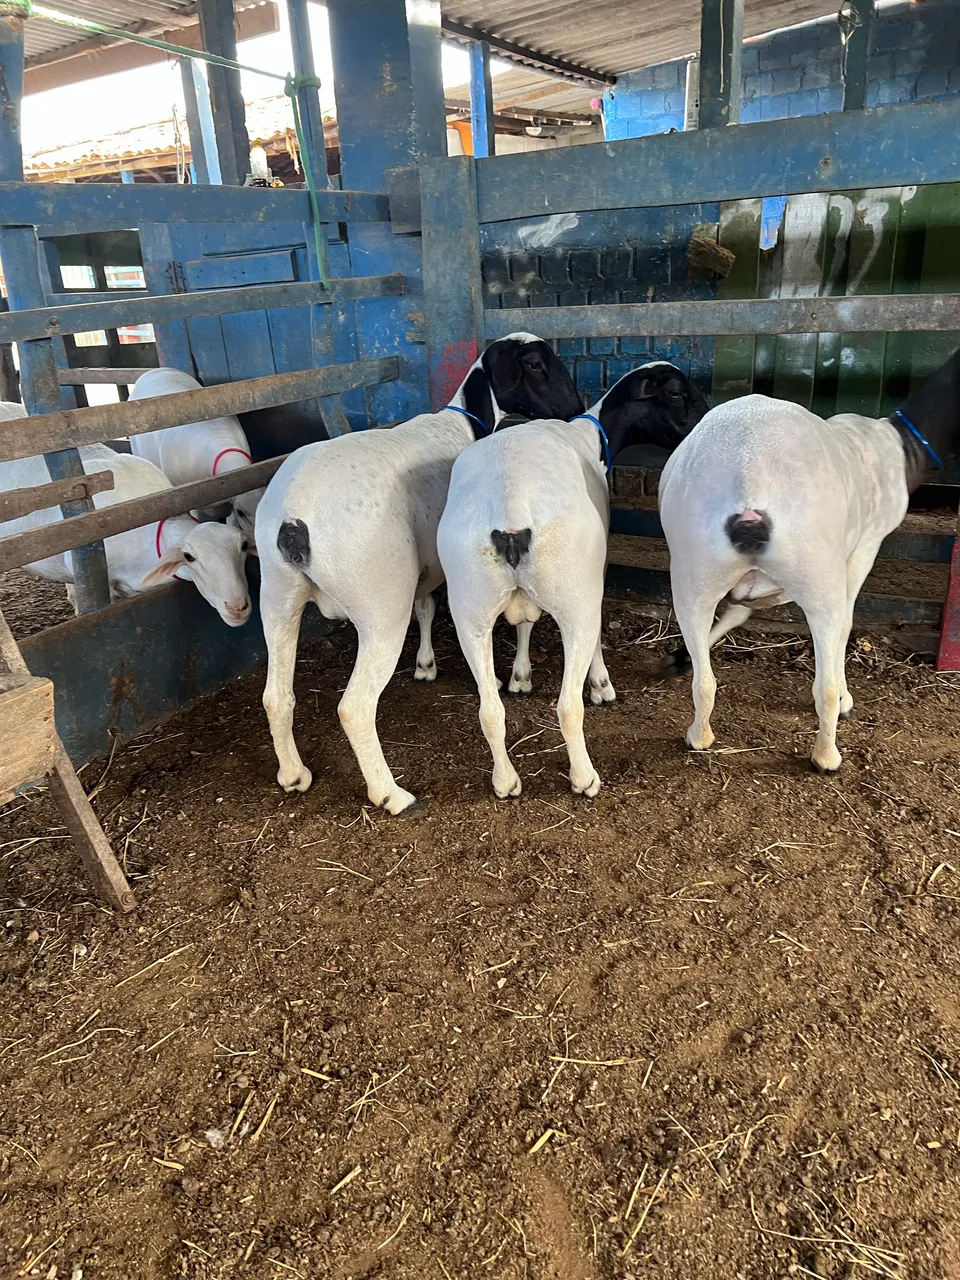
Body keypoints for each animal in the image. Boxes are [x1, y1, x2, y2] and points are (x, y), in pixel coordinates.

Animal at [256, 333, 583, 814]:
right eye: (536, 364)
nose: (575, 409)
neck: (466, 421)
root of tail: (293, 519)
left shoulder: (425, 568)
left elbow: (426, 608)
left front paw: (426, 665)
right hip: (378, 602)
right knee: (354, 707)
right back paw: (391, 794)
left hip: (277, 596)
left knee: (275, 697)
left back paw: (294, 775)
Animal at [437, 361, 709, 799]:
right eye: (674, 392)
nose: (707, 423)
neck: (591, 436)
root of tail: (511, 505)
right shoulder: (595, 574)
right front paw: (601, 684)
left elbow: (526, 623)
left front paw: (520, 676)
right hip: (571, 596)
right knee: (567, 706)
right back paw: (584, 777)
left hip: (470, 608)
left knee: (489, 711)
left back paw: (505, 781)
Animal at [658, 347, 960, 772]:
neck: (902, 447)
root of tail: (749, 481)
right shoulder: (865, 546)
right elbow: (848, 623)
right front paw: (848, 697)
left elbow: (737, 611)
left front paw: (678, 659)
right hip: (817, 575)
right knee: (827, 674)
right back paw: (826, 754)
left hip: (694, 570)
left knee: (703, 677)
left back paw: (699, 734)